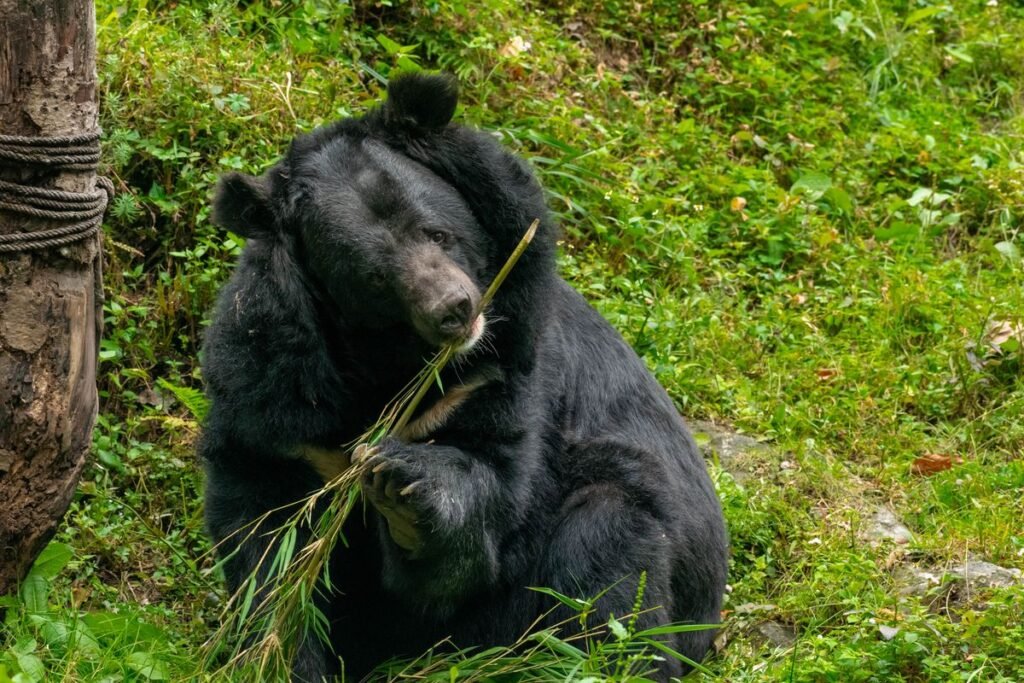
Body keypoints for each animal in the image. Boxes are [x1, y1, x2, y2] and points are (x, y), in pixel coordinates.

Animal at [199, 73, 728, 681]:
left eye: (437, 233)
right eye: (375, 277)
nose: (454, 309)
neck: (392, 367)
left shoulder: (505, 370)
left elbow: (492, 494)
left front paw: (403, 484)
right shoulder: (272, 392)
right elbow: (266, 540)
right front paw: (278, 655)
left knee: (610, 559)